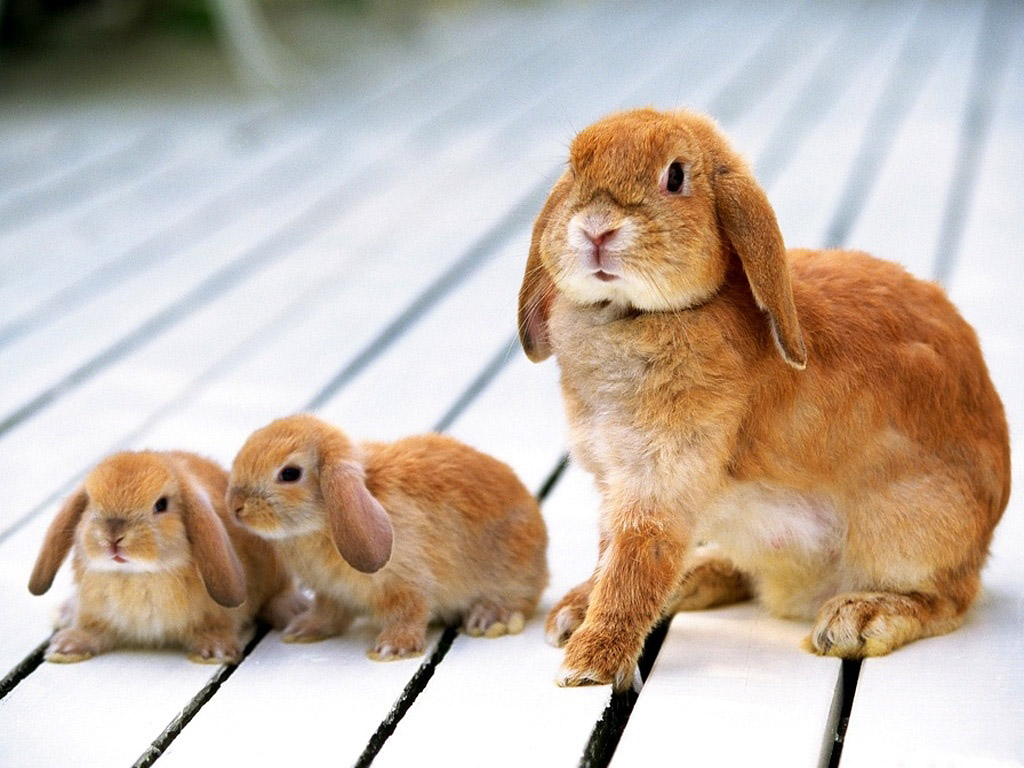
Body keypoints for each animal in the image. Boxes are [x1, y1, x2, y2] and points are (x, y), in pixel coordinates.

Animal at [29, 454, 303, 663]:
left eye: (160, 505)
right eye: (91, 503)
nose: (113, 537)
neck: (139, 575)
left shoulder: (218, 614)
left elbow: (216, 627)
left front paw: (215, 652)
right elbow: (91, 630)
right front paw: (65, 647)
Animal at [227, 415, 548, 663]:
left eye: (290, 474)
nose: (236, 507)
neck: (324, 522)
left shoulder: (406, 582)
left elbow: (408, 612)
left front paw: (391, 649)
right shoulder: (331, 593)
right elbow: (327, 614)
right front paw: (301, 630)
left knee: (520, 598)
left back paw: (489, 619)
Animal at [516, 107, 1011, 692]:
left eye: (675, 176)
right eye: (575, 167)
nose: (596, 228)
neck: (636, 315)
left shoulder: (660, 484)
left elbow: (634, 567)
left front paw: (588, 662)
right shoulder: (618, 484)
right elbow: (608, 559)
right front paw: (574, 614)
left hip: (907, 530)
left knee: (949, 598)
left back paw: (859, 618)